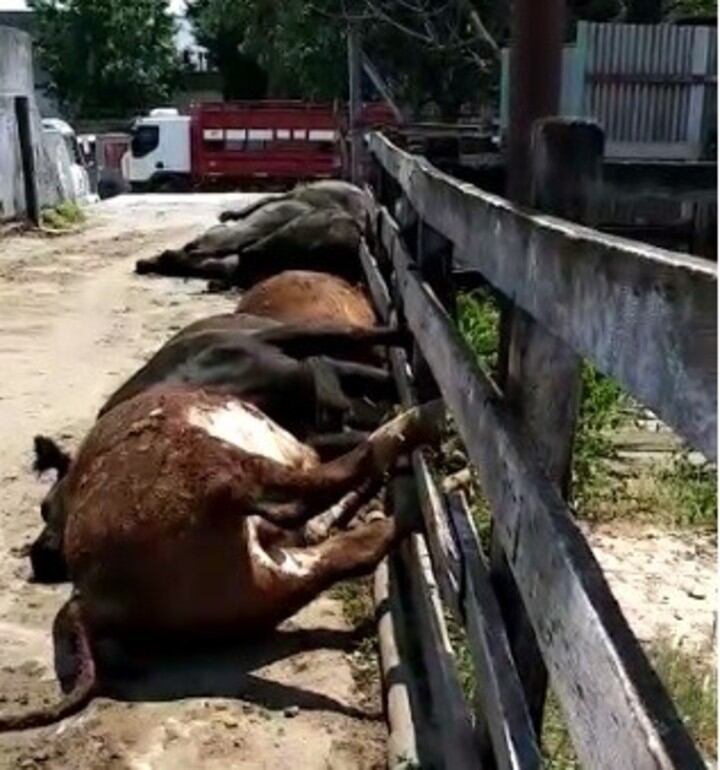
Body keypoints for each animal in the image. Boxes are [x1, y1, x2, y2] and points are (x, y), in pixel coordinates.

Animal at [0, 388, 444, 728]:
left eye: (44, 507)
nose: (41, 556)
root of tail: (89, 603)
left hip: (257, 587)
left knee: (347, 545)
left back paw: (402, 509)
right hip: (207, 464)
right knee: (312, 490)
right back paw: (424, 422)